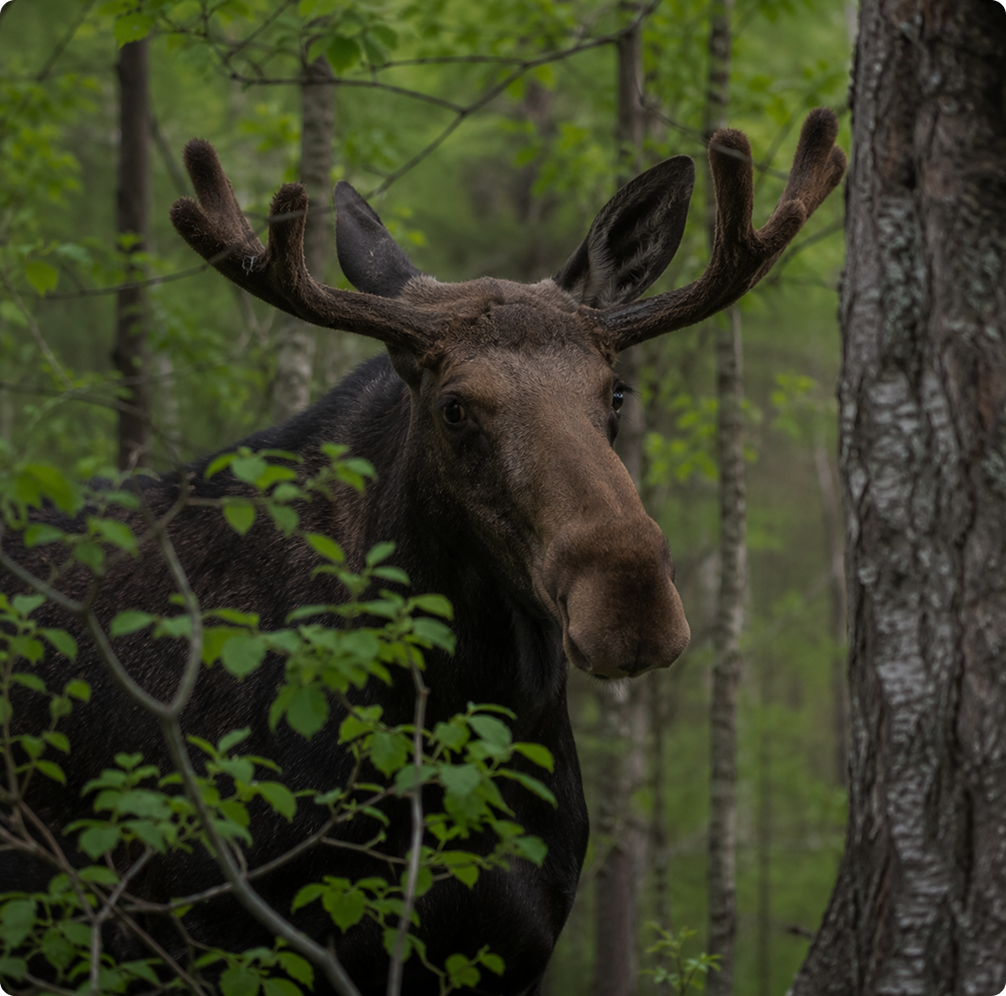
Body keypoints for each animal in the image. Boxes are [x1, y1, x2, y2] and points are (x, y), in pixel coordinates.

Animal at [1, 107, 845, 995]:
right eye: (454, 407)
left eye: (616, 394)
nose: (632, 603)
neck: (464, 705)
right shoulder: (224, 937)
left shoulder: (513, 945)